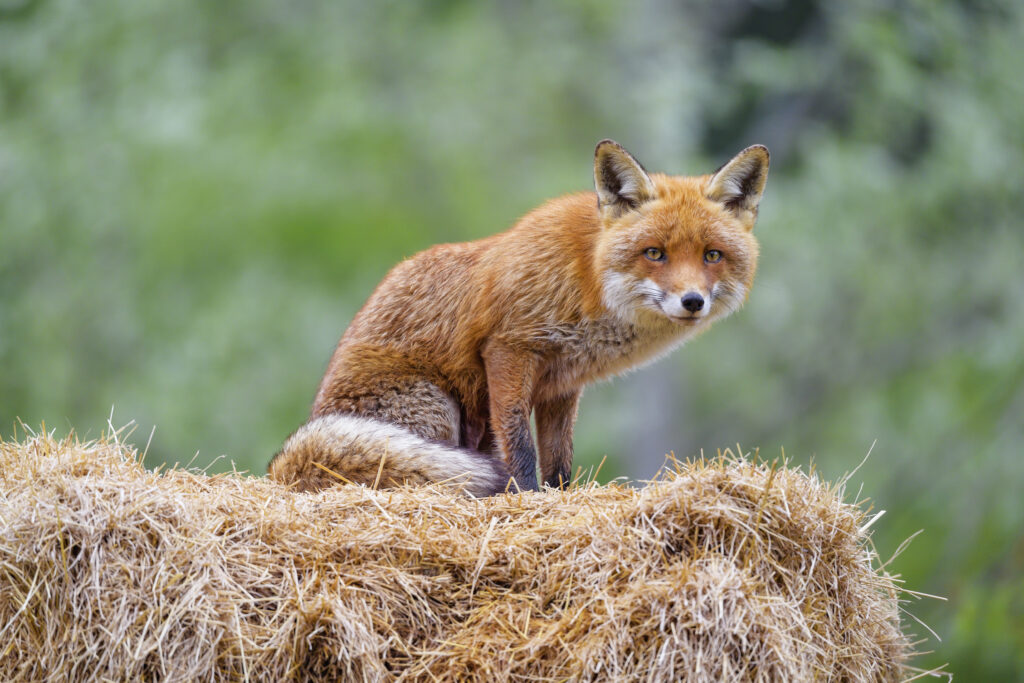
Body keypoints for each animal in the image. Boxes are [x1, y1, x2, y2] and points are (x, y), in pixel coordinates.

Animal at [269, 140, 769, 495]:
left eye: (712, 255)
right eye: (654, 254)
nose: (692, 301)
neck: (586, 280)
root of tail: (287, 460)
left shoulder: (562, 384)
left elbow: (559, 459)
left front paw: (560, 498)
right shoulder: (508, 350)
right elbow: (521, 446)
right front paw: (526, 497)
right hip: (436, 407)